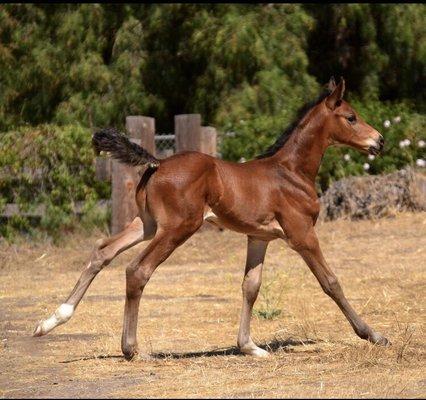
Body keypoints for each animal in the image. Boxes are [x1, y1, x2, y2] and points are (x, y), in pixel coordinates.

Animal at [33, 78, 390, 360]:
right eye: (351, 117)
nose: (379, 140)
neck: (290, 172)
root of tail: (157, 163)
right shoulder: (302, 234)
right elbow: (330, 282)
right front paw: (373, 335)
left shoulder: (259, 237)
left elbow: (251, 286)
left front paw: (249, 346)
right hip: (178, 227)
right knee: (137, 270)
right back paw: (131, 349)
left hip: (147, 224)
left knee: (103, 251)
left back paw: (51, 321)